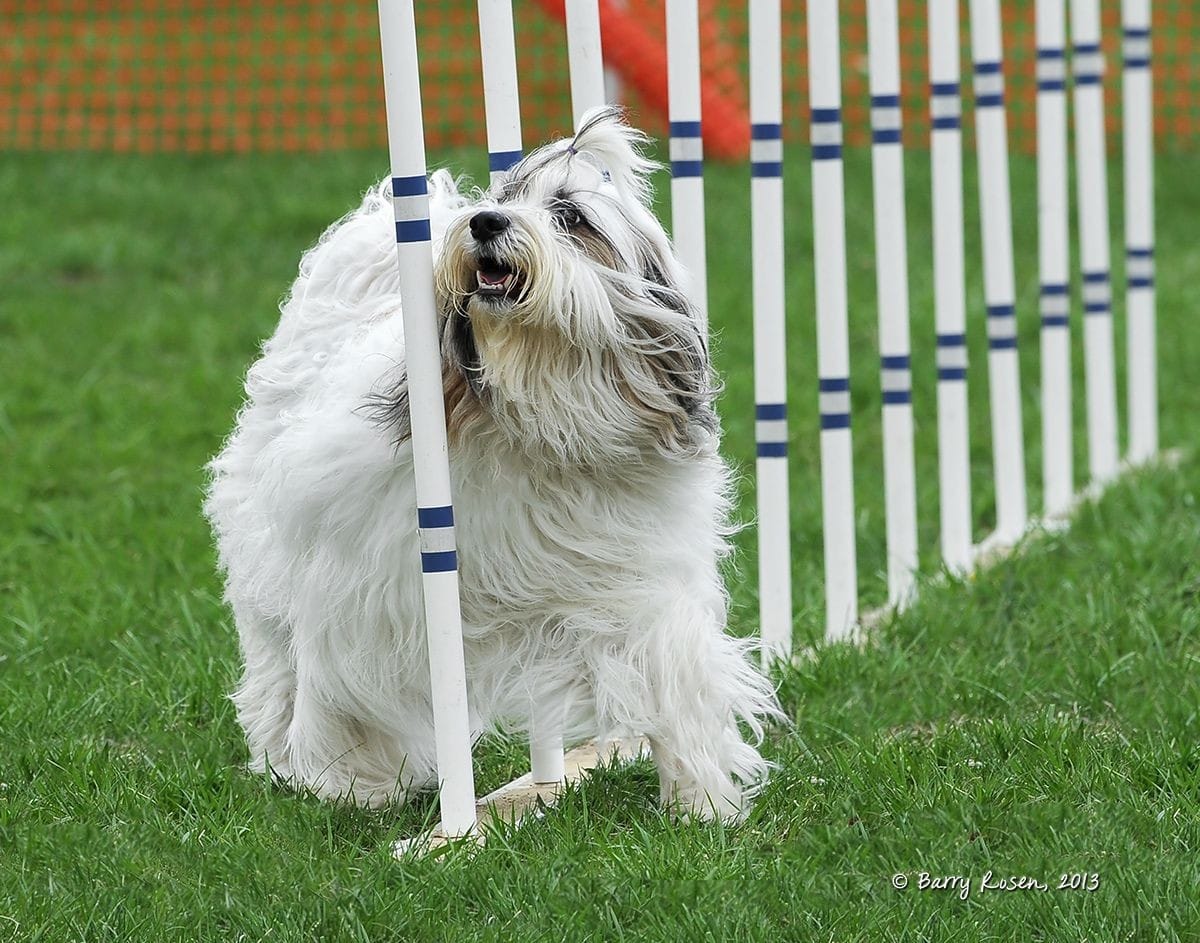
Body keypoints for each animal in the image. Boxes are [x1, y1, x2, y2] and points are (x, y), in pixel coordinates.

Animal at [206, 108, 782, 815]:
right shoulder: (370, 586)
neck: (539, 411)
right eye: (502, 201)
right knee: (279, 656)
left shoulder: (633, 574)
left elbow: (673, 667)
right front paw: (351, 781)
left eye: (572, 217)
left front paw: (700, 800)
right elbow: (348, 677)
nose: (484, 223)